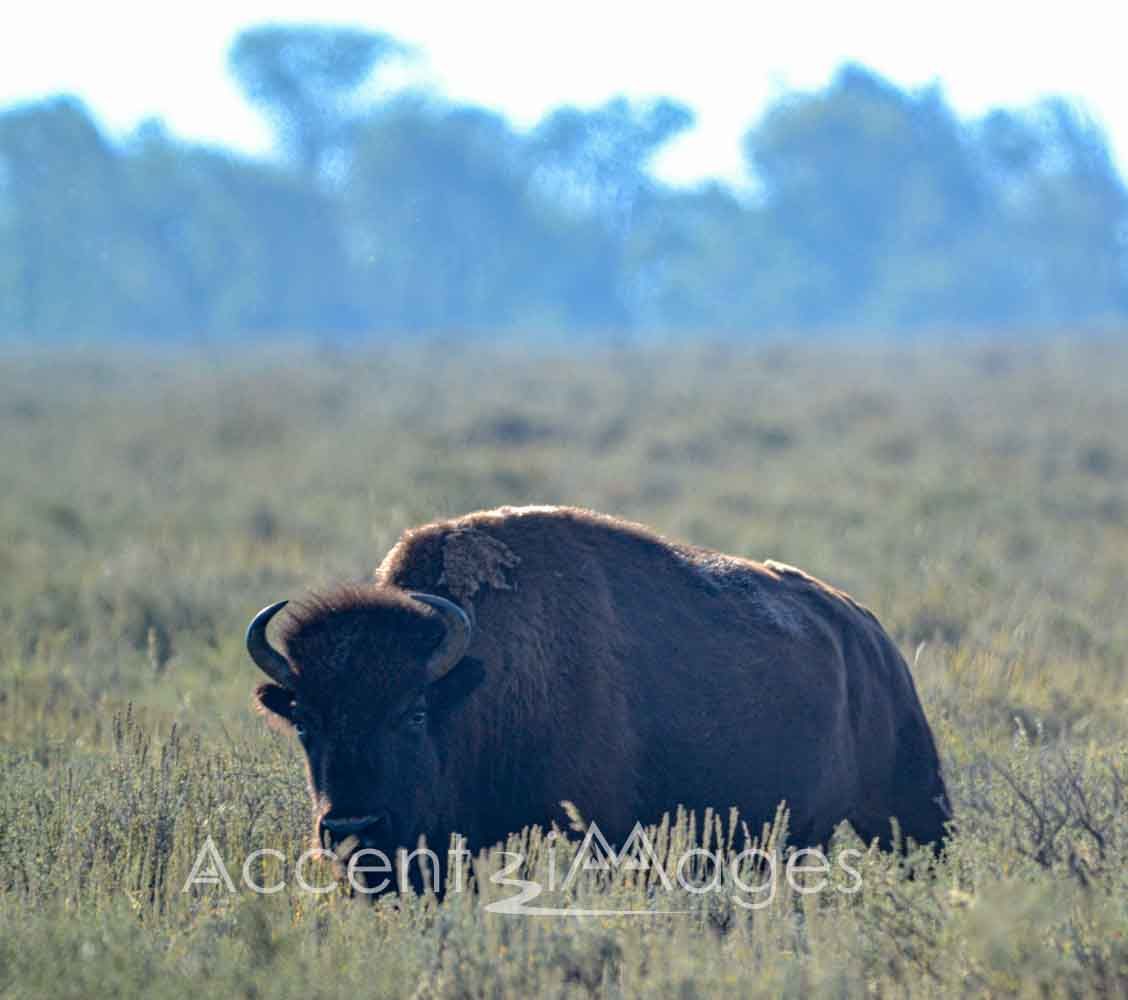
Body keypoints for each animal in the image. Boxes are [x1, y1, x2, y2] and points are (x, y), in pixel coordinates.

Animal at [247, 505, 950, 886]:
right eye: (305, 722)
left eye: (413, 713)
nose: (349, 829)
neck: (477, 681)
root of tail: (866, 632)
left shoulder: (604, 832)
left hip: (909, 811)